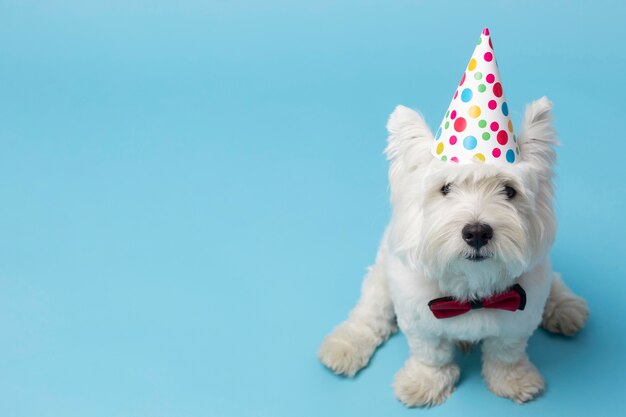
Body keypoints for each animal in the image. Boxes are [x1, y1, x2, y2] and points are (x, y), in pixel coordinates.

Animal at [320, 96, 588, 404]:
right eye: (446, 189)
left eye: (509, 191)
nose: (477, 232)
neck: (472, 289)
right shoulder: (419, 318)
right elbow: (431, 354)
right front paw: (425, 382)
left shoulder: (519, 315)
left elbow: (505, 353)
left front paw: (512, 379)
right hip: (380, 279)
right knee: (370, 313)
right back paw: (344, 346)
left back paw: (565, 308)